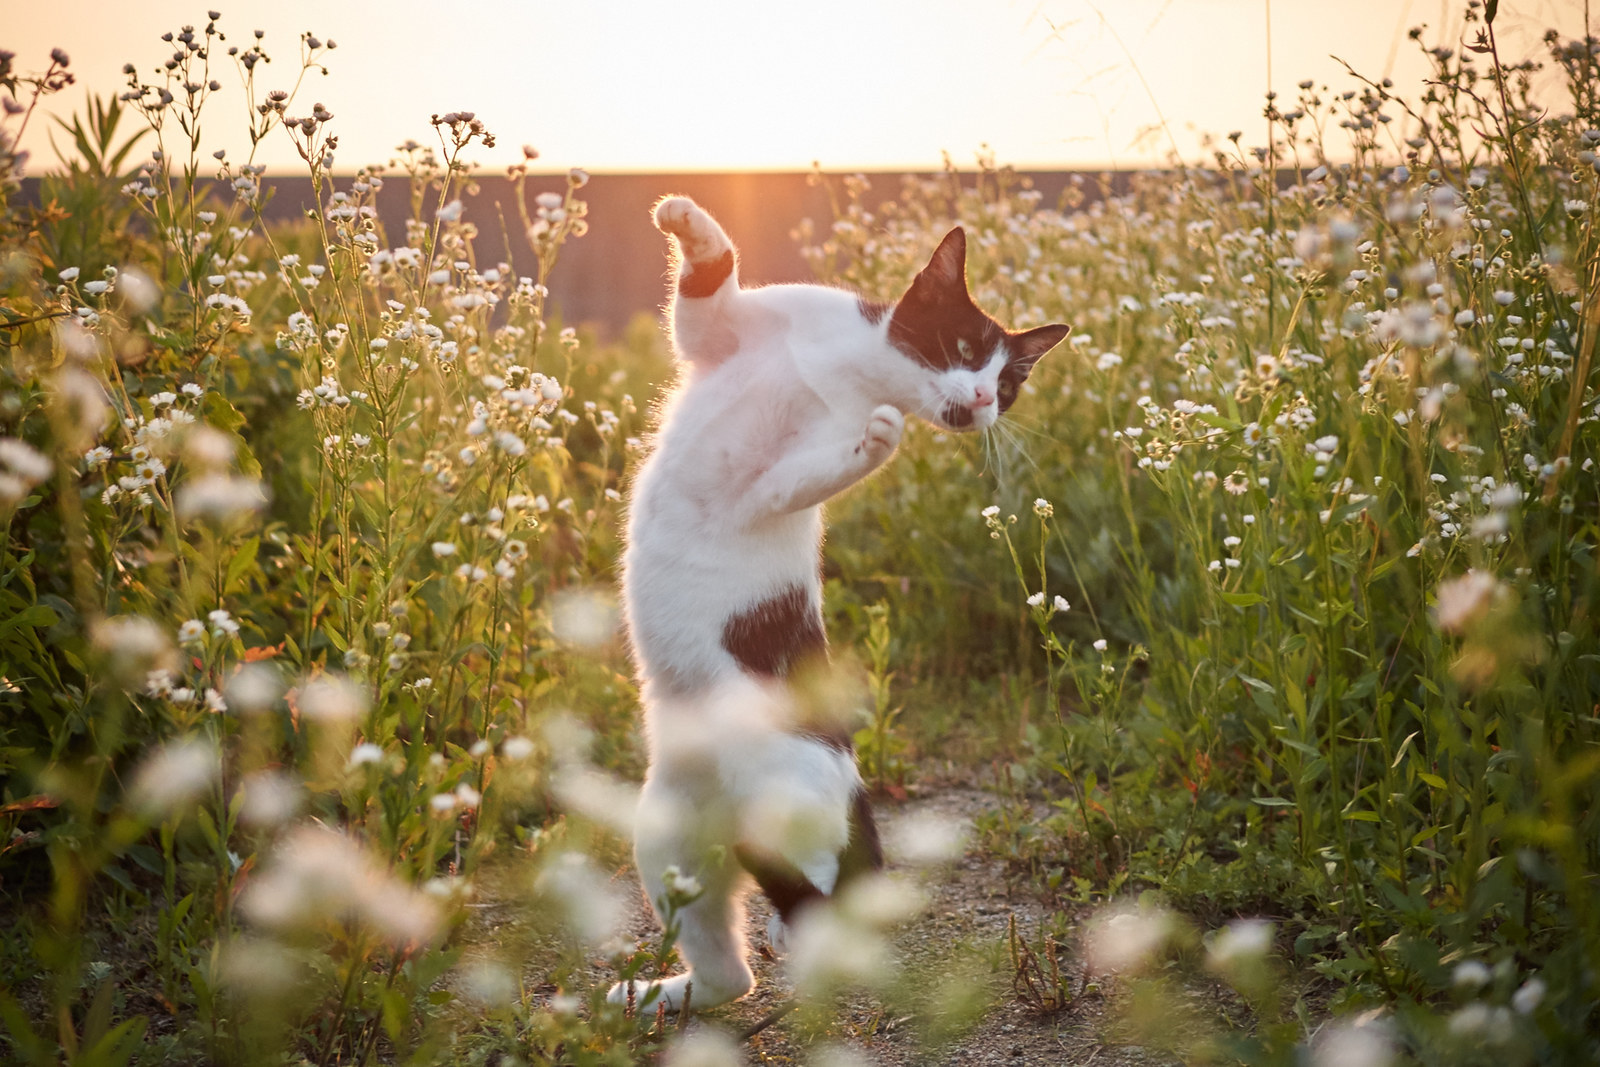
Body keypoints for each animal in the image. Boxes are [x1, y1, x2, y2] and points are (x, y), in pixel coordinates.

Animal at [604, 195, 1068, 1017]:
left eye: (1010, 383)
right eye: (965, 346)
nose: (986, 399)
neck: (836, 369)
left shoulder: (780, 484)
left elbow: (814, 470)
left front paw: (877, 441)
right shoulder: (717, 333)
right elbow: (709, 277)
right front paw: (685, 218)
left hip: (782, 815)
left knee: (808, 917)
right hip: (664, 834)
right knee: (730, 971)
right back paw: (658, 995)